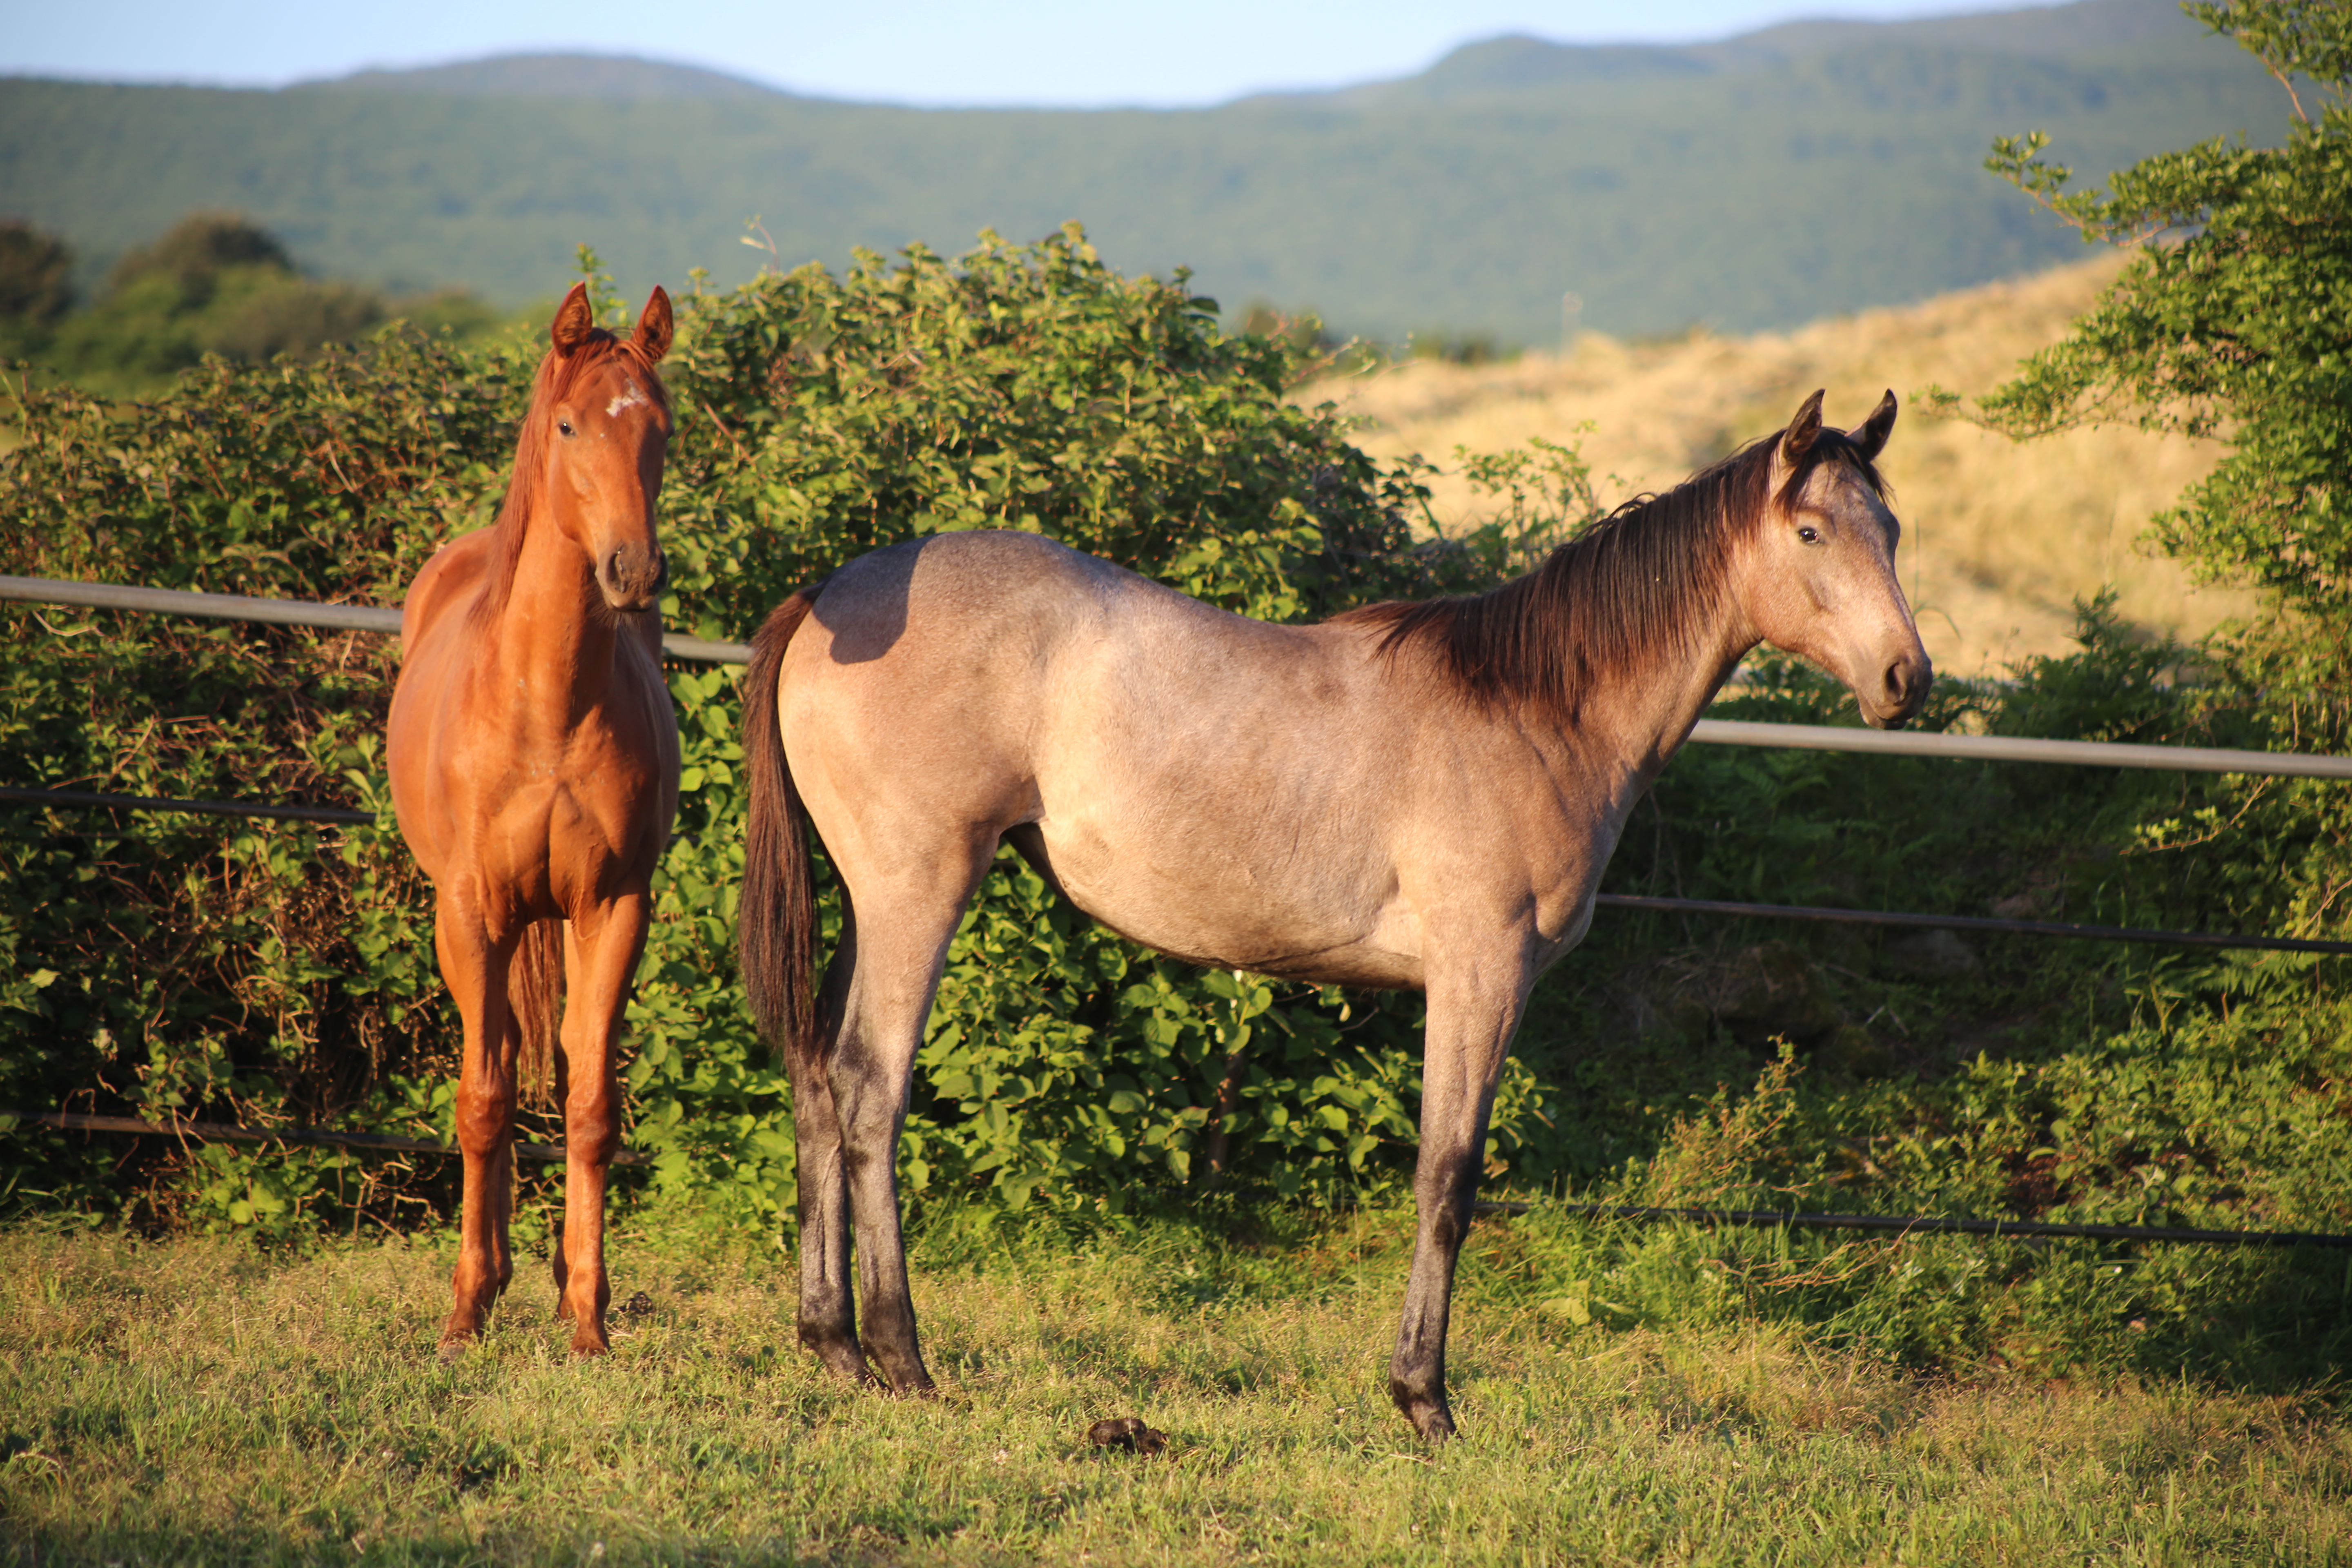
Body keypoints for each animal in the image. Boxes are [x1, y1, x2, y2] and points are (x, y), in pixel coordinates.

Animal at [385, 285, 682, 1363]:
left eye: (660, 426)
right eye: (568, 426)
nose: (632, 570)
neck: (545, 704)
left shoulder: (613, 907)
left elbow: (590, 1104)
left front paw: (587, 1318)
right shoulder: (472, 911)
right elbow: (482, 1101)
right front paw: (465, 1310)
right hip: (480, 922)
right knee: (502, 1065)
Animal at [738, 385, 1929, 1439]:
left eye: (1891, 529)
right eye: (1812, 531)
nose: (1905, 679)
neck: (1534, 708)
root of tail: (832, 592)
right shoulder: (1480, 973)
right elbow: (1447, 1178)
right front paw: (1425, 1402)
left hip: (869, 902)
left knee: (815, 1075)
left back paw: (836, 1347)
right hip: (917, 889)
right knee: (870, 1091)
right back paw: (902, 1359)